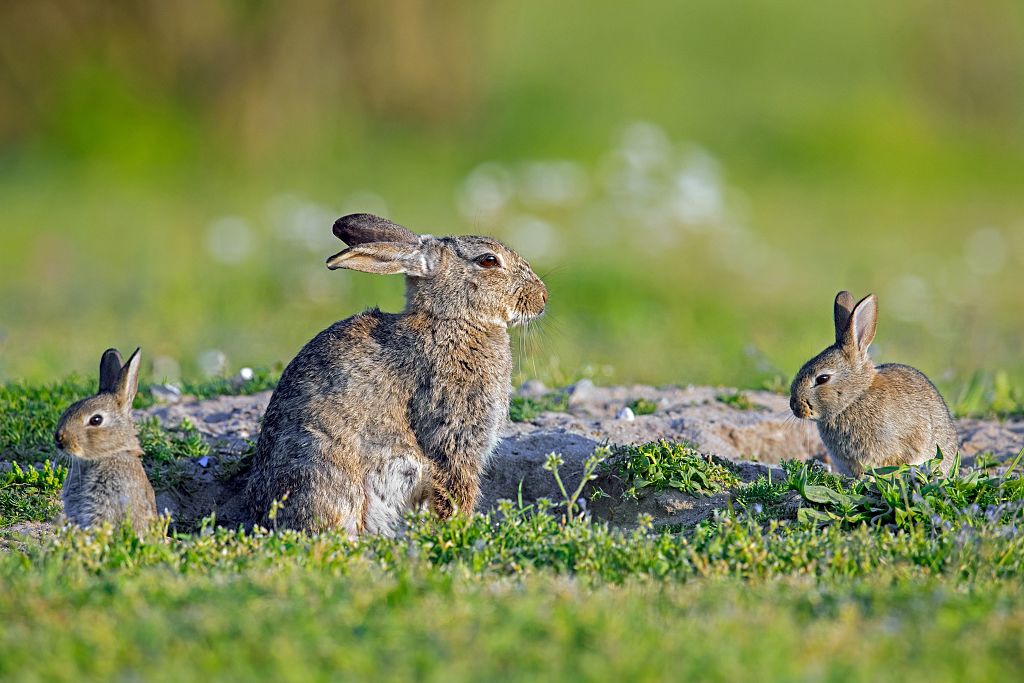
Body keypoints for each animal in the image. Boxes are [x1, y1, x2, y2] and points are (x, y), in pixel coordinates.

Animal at [244, 213, 548, 534]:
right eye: (489, 260)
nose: (543, 297)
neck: (452, 320)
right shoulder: (452, 435)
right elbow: (455, 489)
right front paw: (456, 529)